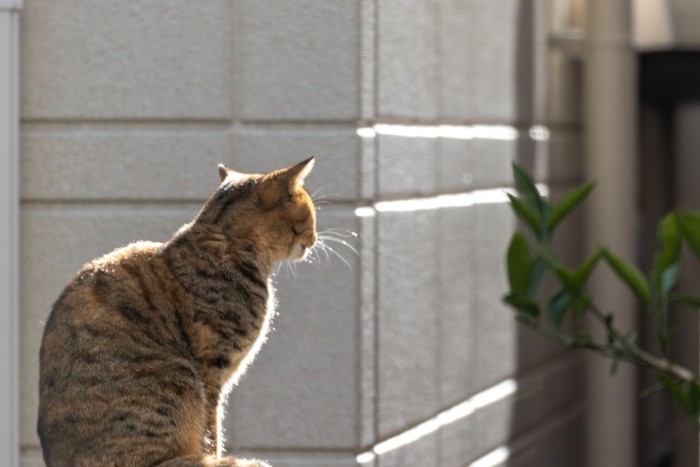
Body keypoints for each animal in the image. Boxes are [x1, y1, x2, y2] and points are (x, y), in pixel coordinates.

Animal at [38, 159, 318, 466]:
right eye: (311, 214)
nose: (316, 238)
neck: (227, 243)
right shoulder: (212, 371)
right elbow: (212, 431)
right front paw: (216, 456)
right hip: (179, 379)